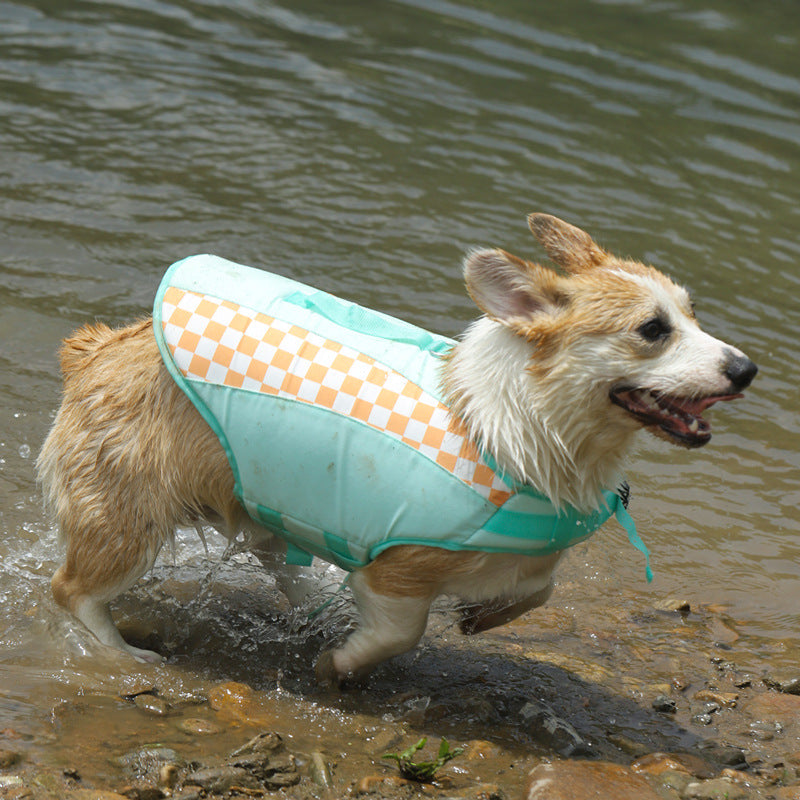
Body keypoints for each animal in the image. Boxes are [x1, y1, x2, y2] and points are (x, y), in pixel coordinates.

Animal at [37, 216, 756, 684]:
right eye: (653, 330)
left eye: (692, 315)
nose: (747, 368)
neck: (521, 429)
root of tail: (96, 351)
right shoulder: (399, 571)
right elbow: (398, 632)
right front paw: (339, 665)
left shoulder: (526, 557)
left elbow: (538, 589)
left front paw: (480, 615)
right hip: (129, 525)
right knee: (72, 591)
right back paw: (121, 656)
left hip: (262, 501)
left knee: (279, 561)